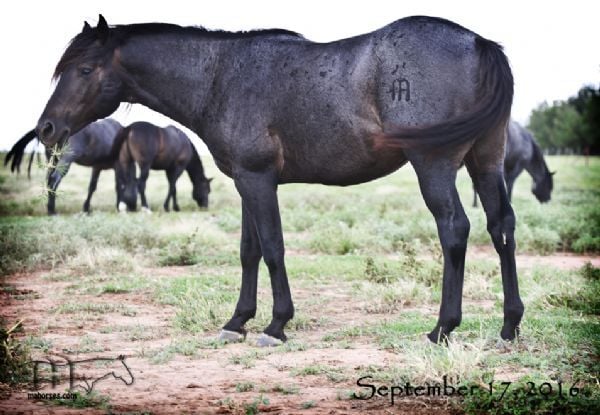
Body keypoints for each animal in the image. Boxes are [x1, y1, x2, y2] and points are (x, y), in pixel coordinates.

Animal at [35, 14, 524, 346]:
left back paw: (442, 327)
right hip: (485, 162)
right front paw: (237, 321)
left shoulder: (257, 180)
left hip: (433, 165)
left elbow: (271, 248)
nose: (46, 129)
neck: (220, 77)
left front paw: (276, 324)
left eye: (84, 70)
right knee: (501, 227)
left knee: (455, 229)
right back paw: (509, 325)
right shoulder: (245, 182)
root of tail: (478, 42)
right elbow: (248, 251)